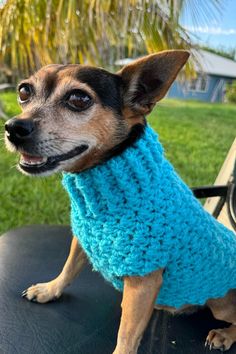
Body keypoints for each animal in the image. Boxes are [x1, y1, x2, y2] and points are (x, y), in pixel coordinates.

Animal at [4, 50, 236, 354]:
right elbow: (68, 268)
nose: (13, 127)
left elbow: (127, 334)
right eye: (23, 92)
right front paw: (50, 289)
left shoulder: (143, 281)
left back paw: (225, 334)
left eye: (79, 99)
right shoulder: (82, 239)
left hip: (221, 304)